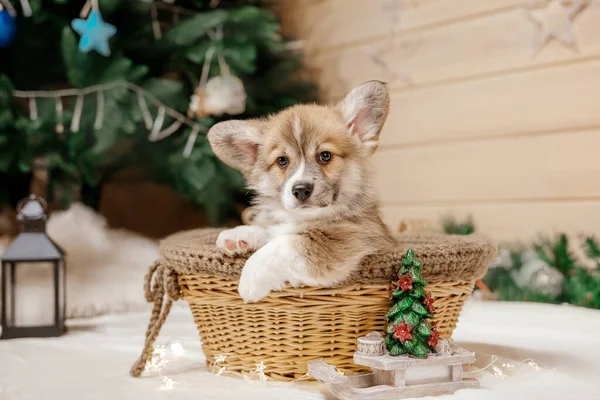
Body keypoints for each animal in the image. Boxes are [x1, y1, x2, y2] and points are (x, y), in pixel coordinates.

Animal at [209, 79, 396, 302]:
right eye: (282, 160)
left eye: (325, 156)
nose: (300, 190)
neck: (305, 217)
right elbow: (270, 230)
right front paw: (238, 235)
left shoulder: (348, 237)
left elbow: (286, 243)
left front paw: (249, 279)